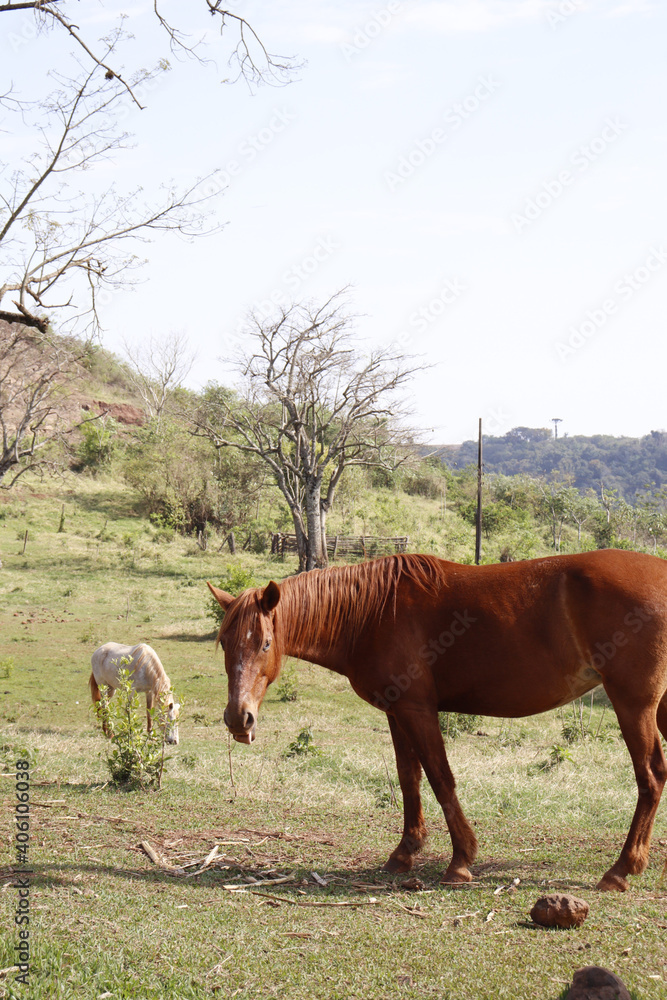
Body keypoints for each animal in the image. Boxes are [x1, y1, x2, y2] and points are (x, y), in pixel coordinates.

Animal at [208, 549, 667, 893]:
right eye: (225, 642)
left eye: (266, 643)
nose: (238, 719)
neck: (373, 612)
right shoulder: (397, 712)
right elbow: (409, 778)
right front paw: (405, 852)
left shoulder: (418, 710)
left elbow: (440, 778)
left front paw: (460, 861)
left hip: (634, 704)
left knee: (651, 777)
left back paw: (621, 870)